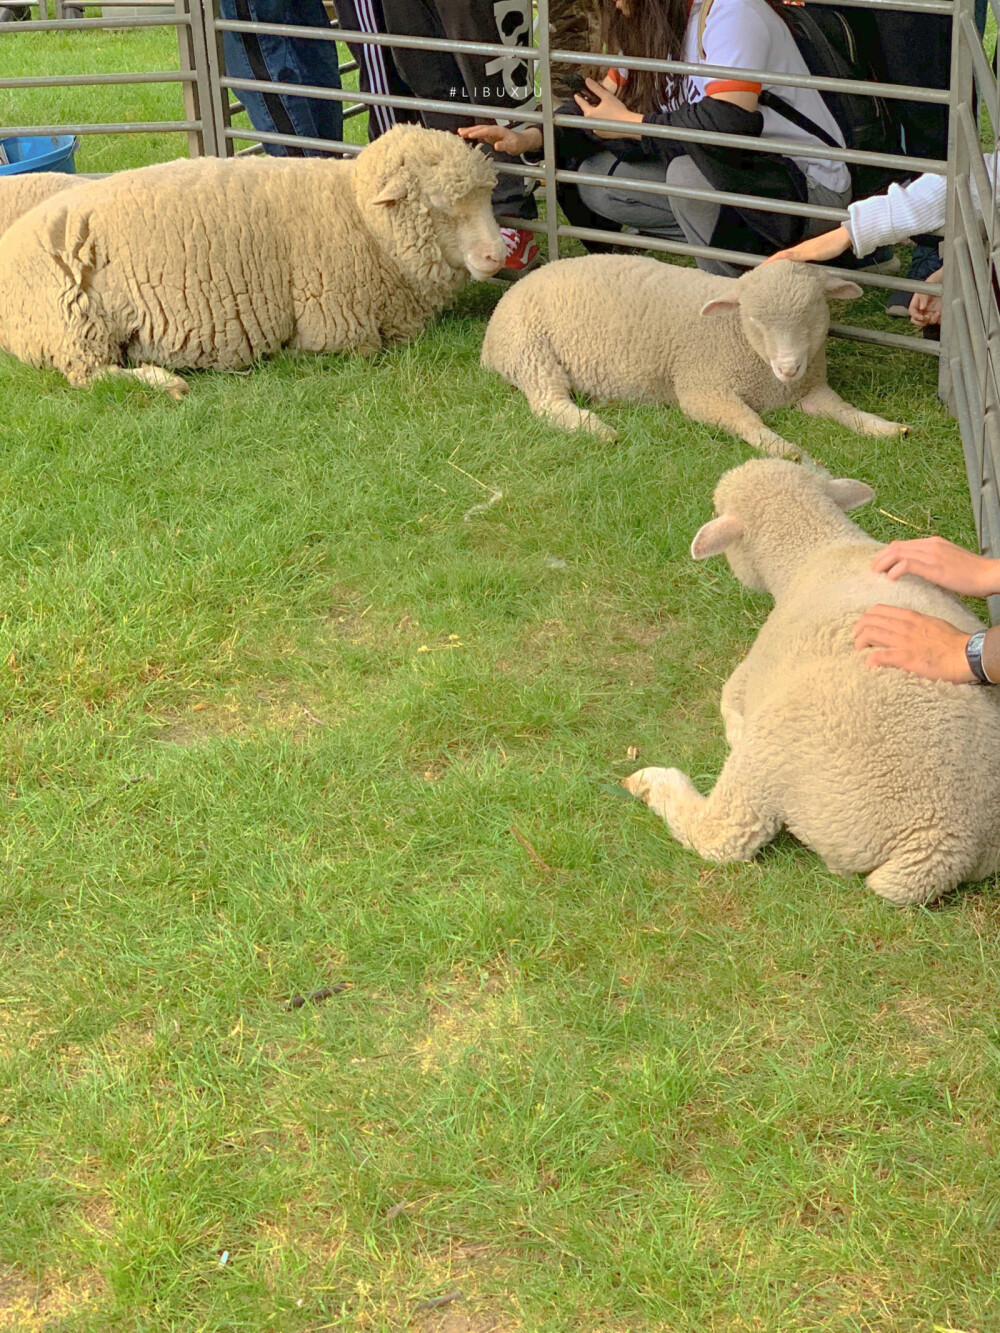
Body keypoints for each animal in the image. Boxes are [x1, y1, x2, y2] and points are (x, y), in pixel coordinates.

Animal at [0, 124, 504, 394]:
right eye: (440, 204)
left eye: (486, 197)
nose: (497, 255)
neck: (359, 215)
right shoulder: (337, 330)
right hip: (74, 325)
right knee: (90, 376)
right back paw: (165, 382)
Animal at [482, 253, 912, 458]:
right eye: (754, 319)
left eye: (812, 313)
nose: (789, 367)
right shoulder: (703, 390)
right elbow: (747, 420)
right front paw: (783, 449)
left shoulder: (811, 391)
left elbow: (845, 411)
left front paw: (886, 428)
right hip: (531, 352)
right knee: (548, 404)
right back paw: (598, 429)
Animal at [626, 458, 1000, 906]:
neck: (816, 546)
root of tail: (945, 846)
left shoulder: (752, 672)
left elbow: (727, 701)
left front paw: (733, 728)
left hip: (775, 759)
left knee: (721, 834)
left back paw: (650, 783)